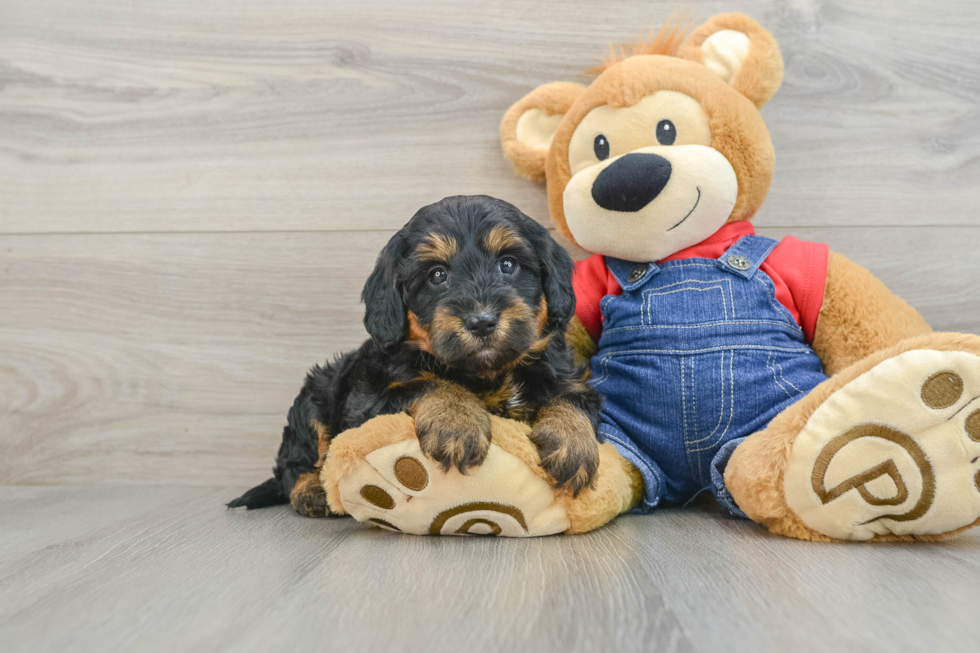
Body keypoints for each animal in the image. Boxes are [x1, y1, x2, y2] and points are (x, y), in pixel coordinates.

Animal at [230, 194, 600, 516]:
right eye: (437, 275)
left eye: (508, 264)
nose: (482, 321)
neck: (487, 371)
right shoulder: (368, 402)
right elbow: (430, 385)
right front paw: (457, 420)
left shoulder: (566, 376)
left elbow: (571, 398)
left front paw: (573, 441)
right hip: (314, 396)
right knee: (296, 462)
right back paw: (311, 491)